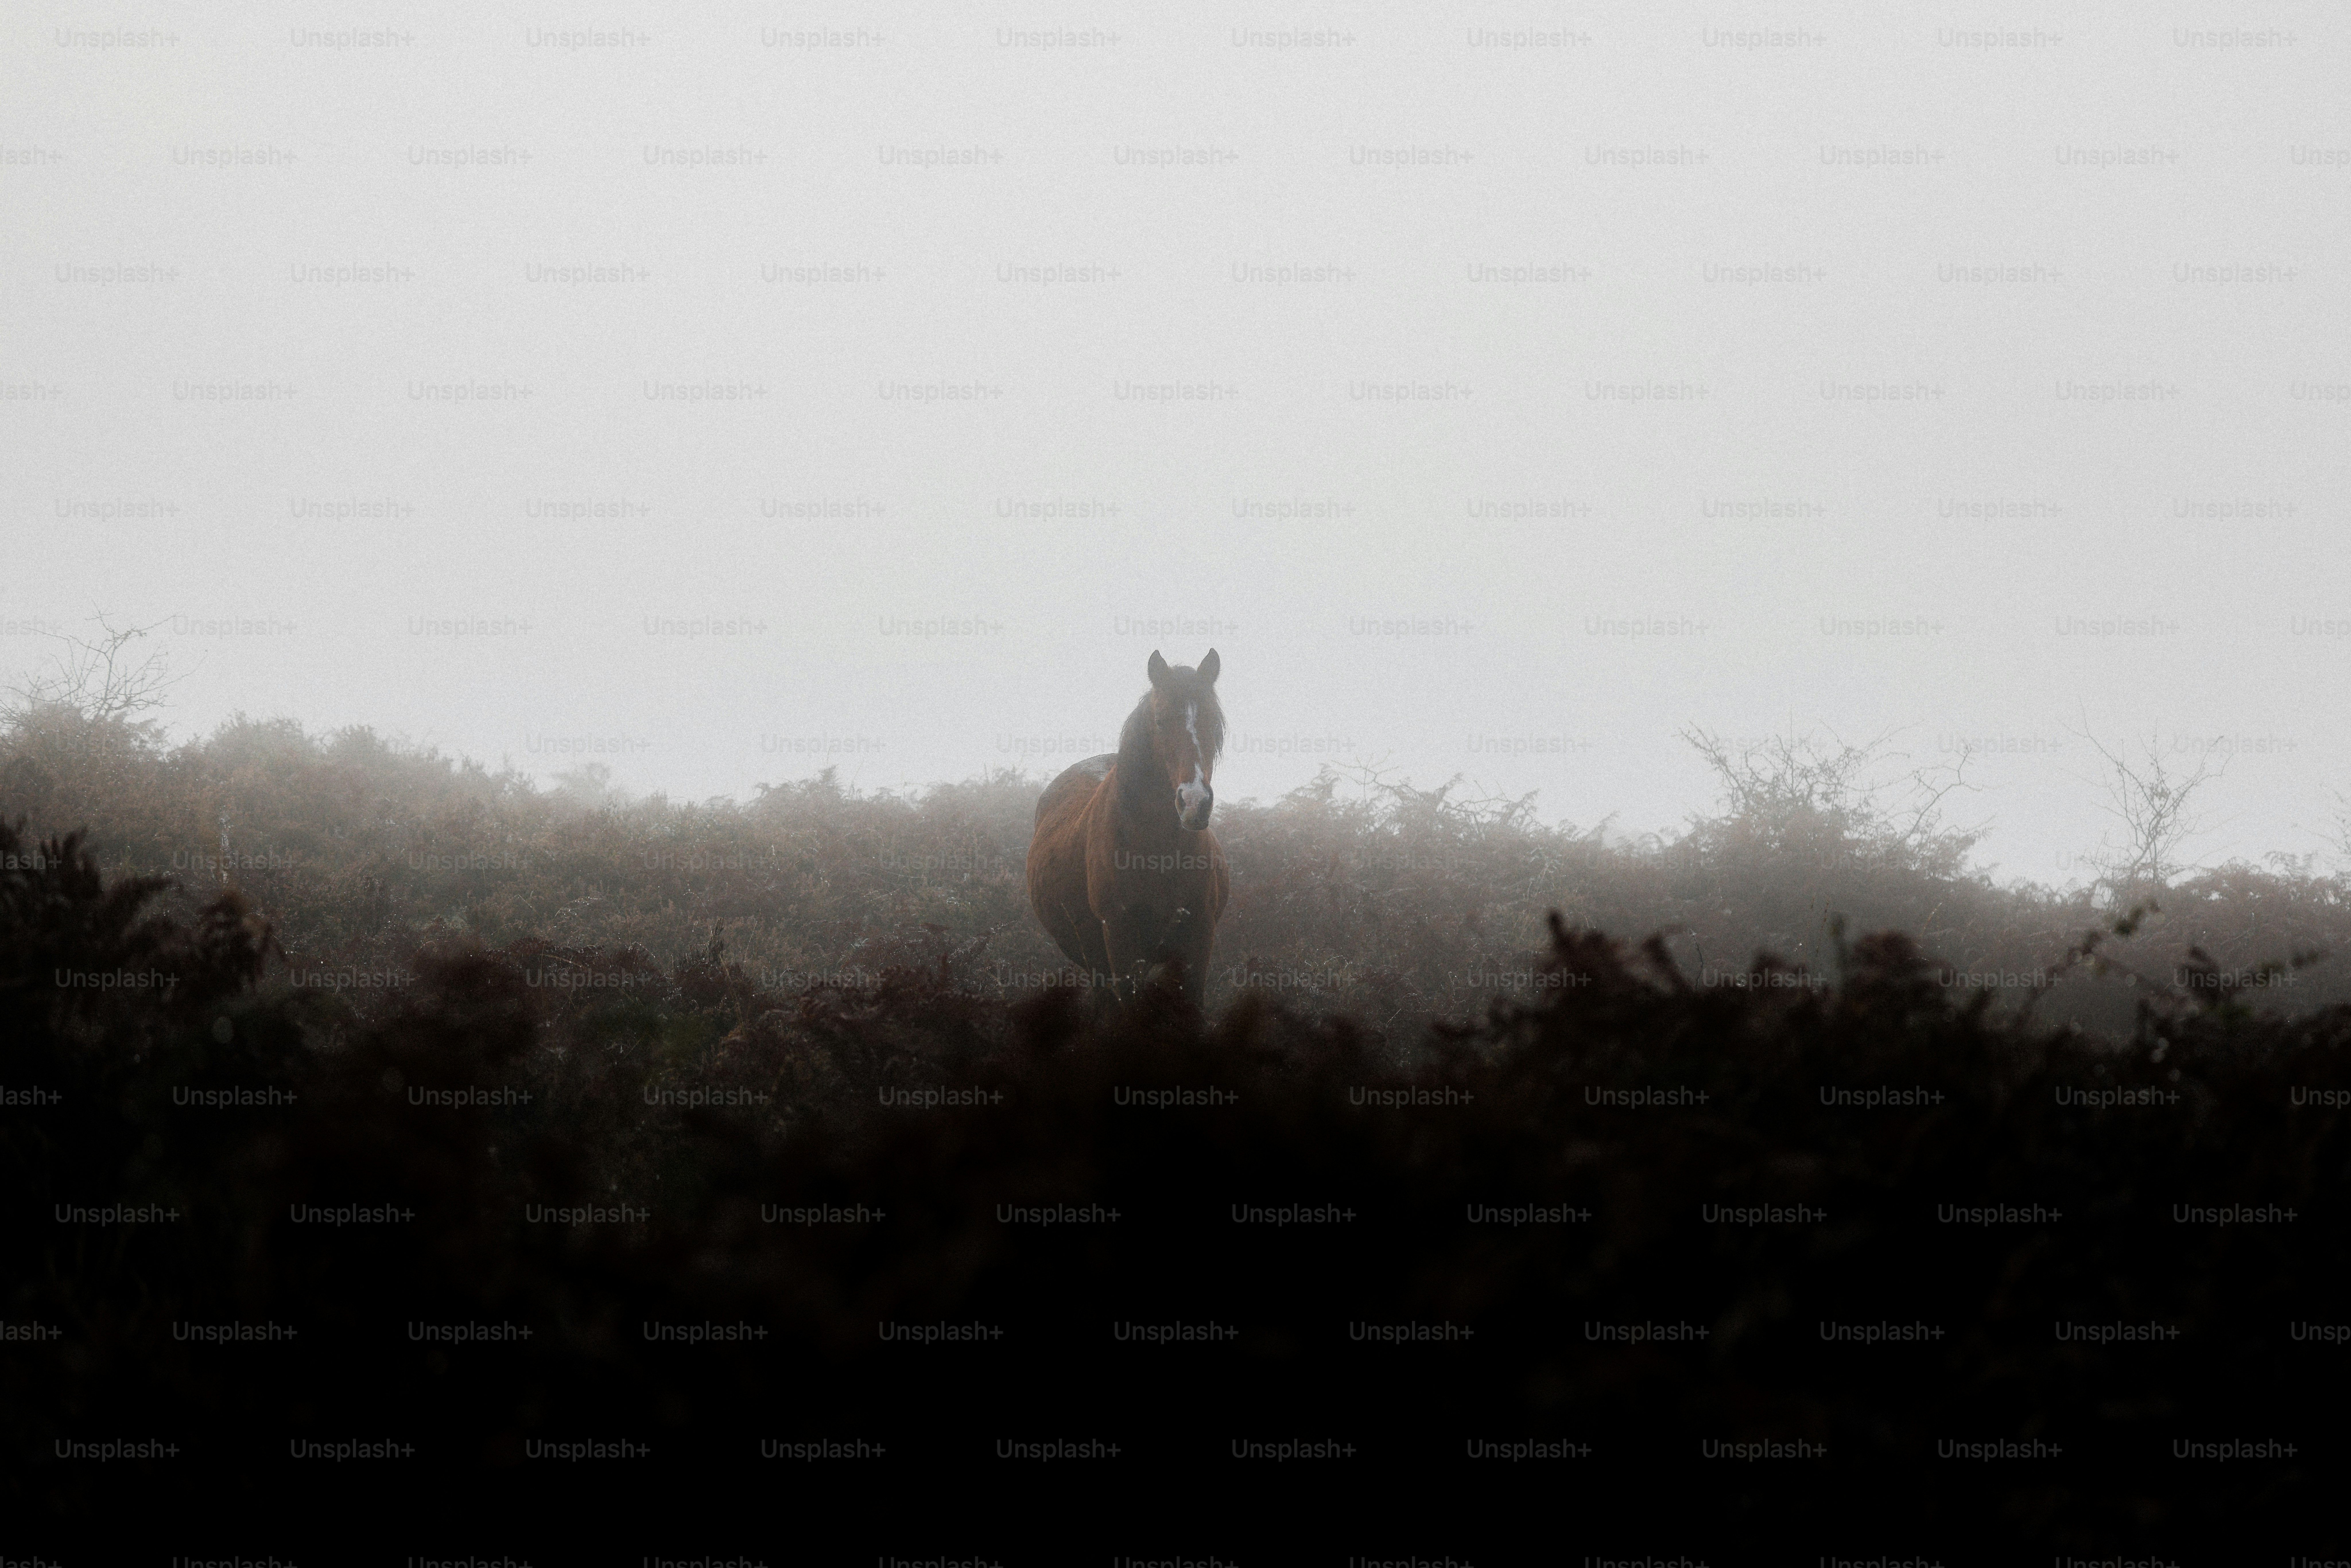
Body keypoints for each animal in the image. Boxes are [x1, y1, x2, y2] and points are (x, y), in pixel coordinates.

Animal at [1026, 649, 1229, 1008]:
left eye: (1214, 724)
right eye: (1160, 721)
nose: (1195, 803)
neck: (1158, 855)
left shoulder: (1199, 939)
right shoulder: (1120, 943)